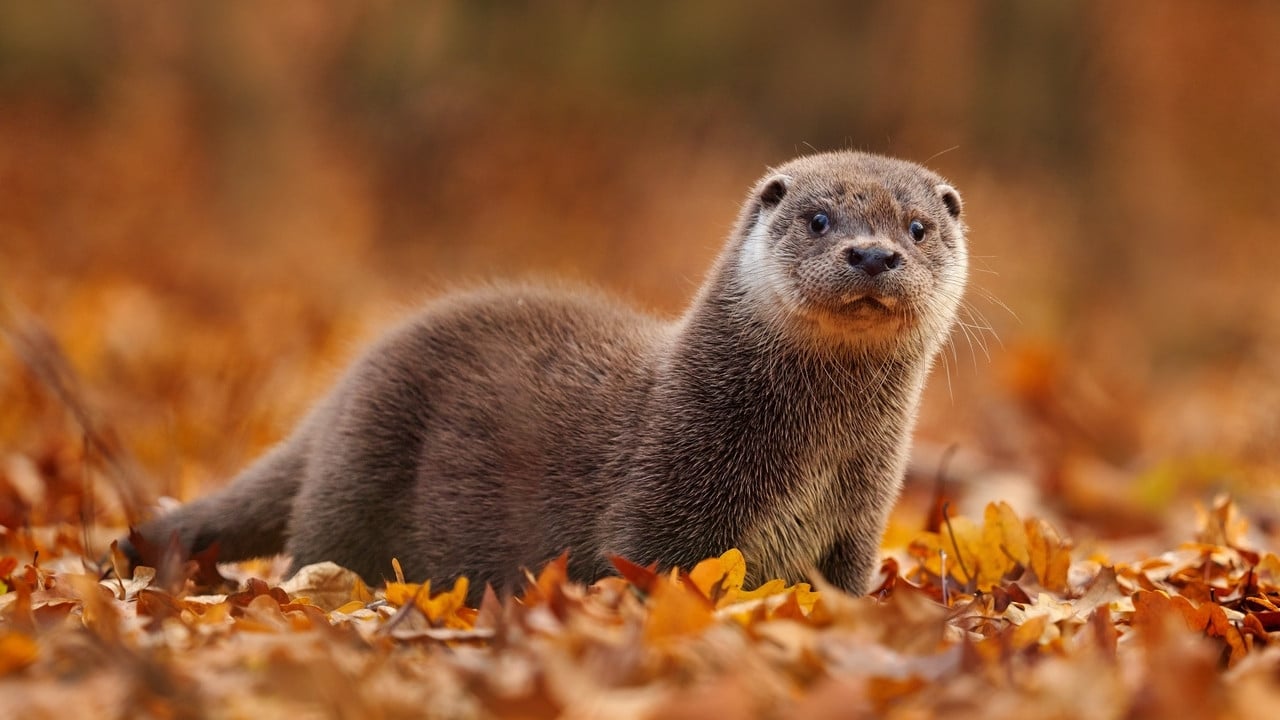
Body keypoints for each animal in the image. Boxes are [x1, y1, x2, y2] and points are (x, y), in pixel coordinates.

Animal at [122, 151, 967, 599]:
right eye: (820, 219)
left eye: (918, 228)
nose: (873, 254)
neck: (811, 459)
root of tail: (342, 391)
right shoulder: (662, 500)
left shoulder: (857, 523)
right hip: (358, 471)